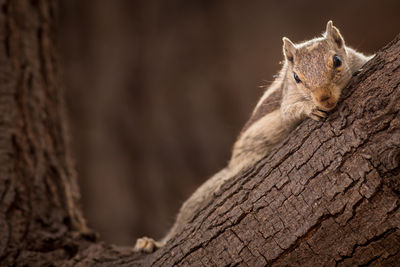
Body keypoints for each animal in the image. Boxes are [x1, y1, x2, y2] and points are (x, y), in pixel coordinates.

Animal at [134, 20, 372, 253]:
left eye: (337, 61)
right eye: (296, 77)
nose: (324, 99)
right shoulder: (286, 101)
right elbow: (288, 113)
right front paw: (310, 108)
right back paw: (153, 243)